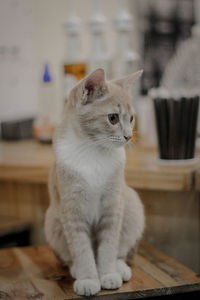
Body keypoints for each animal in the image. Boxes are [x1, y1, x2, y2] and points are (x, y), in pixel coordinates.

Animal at [44, 69, 145, 296]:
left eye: (131, 118)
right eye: (113, 118)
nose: (128, 136)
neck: (93, 150)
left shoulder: (113, 204)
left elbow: (109, 245)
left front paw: (107, 274)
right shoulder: (71, 209)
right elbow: (81, 249)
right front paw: (88, 278)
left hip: (132, 203)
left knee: (122, 250)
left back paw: (119, 267)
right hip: (52, 219)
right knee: (68, 256)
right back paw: (75, 269)